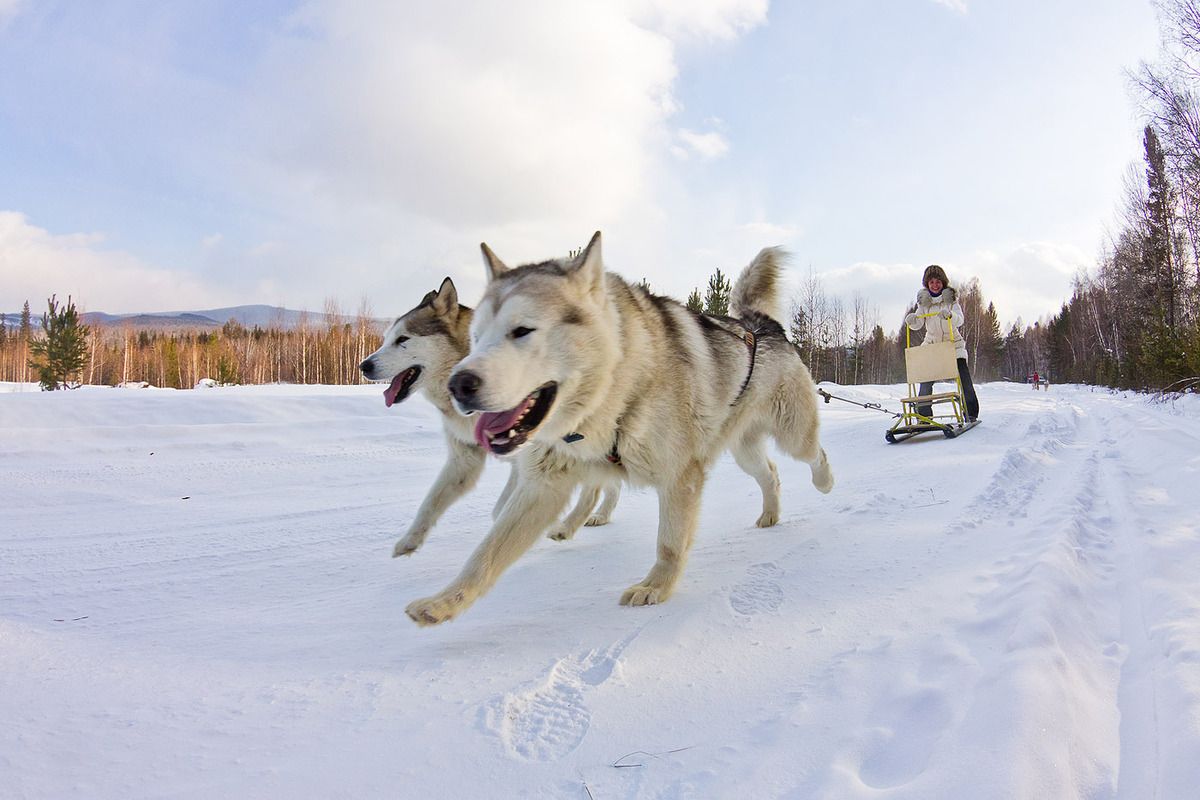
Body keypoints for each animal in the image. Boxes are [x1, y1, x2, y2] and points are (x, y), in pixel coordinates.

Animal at [355, 278, 619, 554]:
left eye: (403, 339)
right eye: (386, 339)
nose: (364, 365)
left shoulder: (527, 463)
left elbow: (501, 509)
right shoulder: (464, 461)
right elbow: (431, 502)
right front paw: (409, 541)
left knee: (594, 490)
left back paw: (569, 526)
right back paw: (600, 516)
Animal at [405, 231, 835, 623]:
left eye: (522, 330)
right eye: (476, 337)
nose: (459, 385)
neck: (614, 394)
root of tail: (760, 325)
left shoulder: (680, 477)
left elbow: (669, 544)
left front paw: (656, 587)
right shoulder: (543, 485)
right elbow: (485, 555)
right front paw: (443, 602)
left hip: (792, 434)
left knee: (814, 453)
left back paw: (825, 482)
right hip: (744, 450)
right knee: (771, 474)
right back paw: (770, 515)